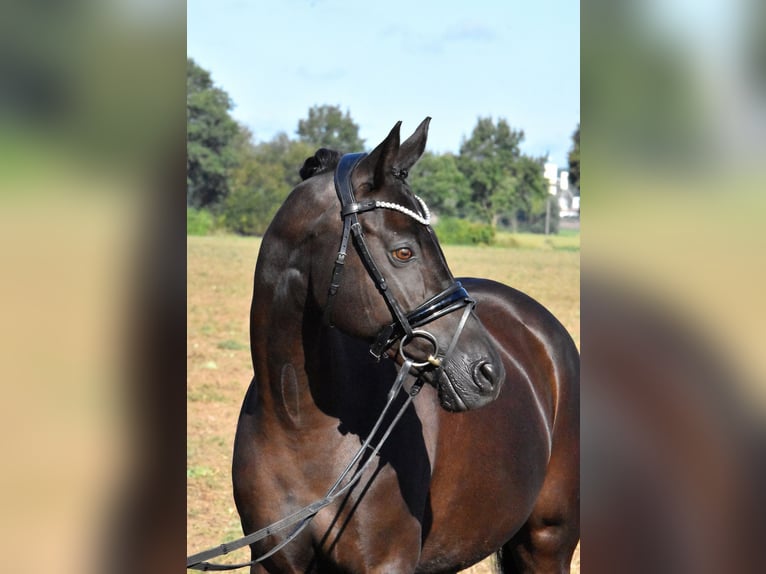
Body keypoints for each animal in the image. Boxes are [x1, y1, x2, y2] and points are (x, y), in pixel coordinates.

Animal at [231, 119, 580, 572]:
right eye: (403, 252)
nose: (487, 372)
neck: (297, 424)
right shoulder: (269, 561)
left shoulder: (387, 562)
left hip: (547, 541)